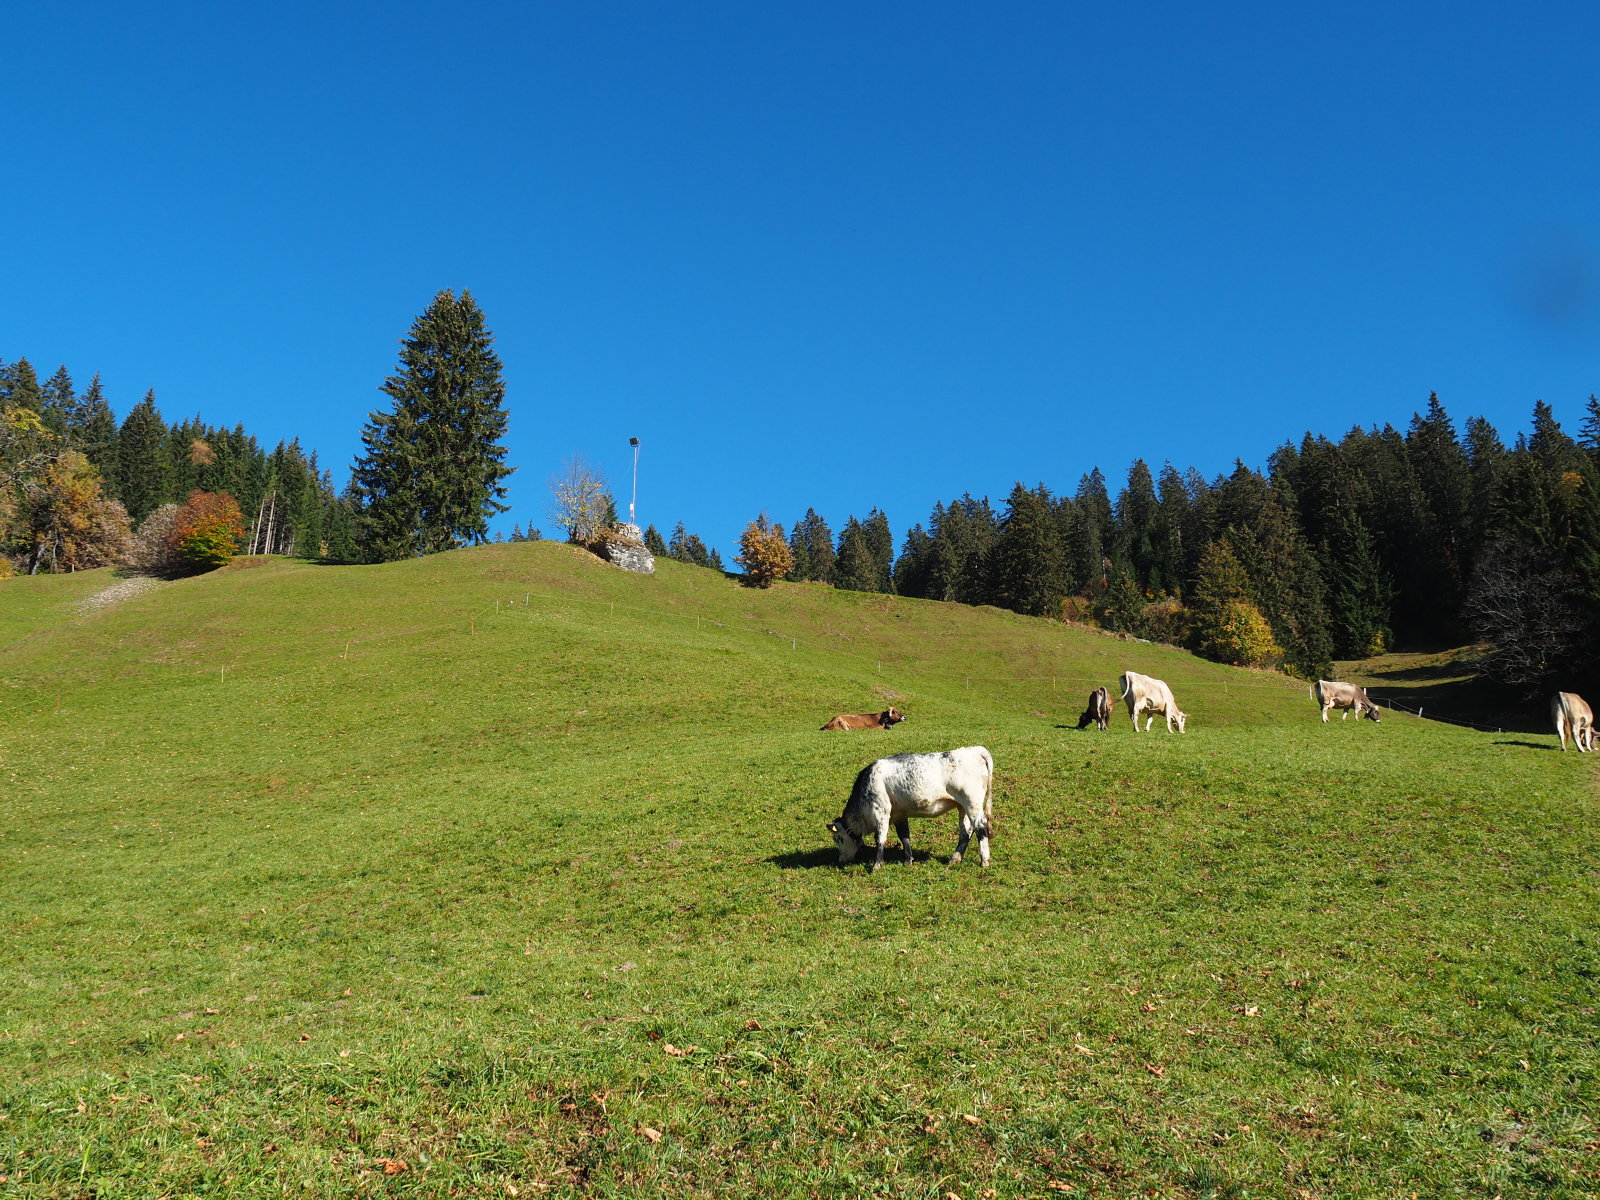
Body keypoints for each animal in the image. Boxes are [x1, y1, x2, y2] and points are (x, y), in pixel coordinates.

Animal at [832, 748, 992, 870]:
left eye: (838, 838)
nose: (840, 860)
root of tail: (974, 750)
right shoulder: (899, 815)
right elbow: (904, 837)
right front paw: (908, 860)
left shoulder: (880, 811)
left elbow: (880, 838)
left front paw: (877, 864)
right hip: (963, 807)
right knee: (966, 832)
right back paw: (955, 858)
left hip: (972, 804)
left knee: (980, 828)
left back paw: (984, 861)